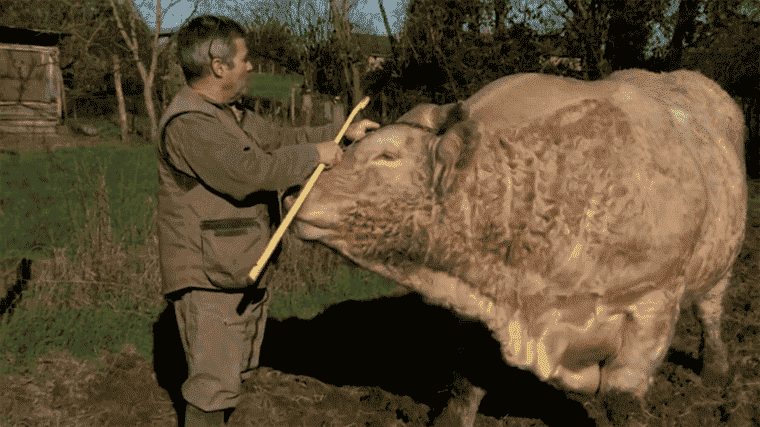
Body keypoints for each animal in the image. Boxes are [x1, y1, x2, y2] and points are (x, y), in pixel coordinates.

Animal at [282, 70, 744, 422]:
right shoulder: (480, 304)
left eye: (386, 156)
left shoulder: (653, 308)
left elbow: (622, 400)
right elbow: (466, 381)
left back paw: (717, 372)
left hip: (721, 265)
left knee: (711, 311)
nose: (292, 191)